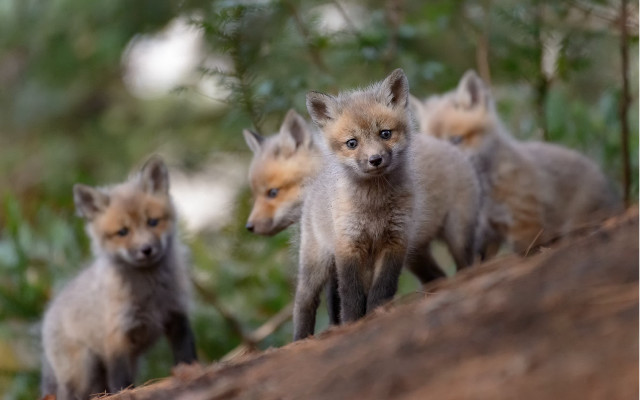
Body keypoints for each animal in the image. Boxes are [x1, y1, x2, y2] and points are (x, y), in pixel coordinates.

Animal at [41, 156, 197, 400]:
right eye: (123, 232)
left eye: (153, 222)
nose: (146, 249)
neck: (150, 293)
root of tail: (48, 314)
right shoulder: (117, 336)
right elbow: (120, 381)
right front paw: (126, 393)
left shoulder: (177, 314)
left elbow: (186, 355)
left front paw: (193, 373)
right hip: (83, 370)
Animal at [294, 69, 481, 340]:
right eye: (352, 143)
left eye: (385, 133)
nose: (375, 159)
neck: (375, 207)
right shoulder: (349, 245)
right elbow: (350, 294)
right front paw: (354, 322)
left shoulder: (396, 241)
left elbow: (383, 288)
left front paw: (376, 314)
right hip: (316, 262)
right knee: (304, 301)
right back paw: (300, 338)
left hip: (452, 236)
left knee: (453, 269)